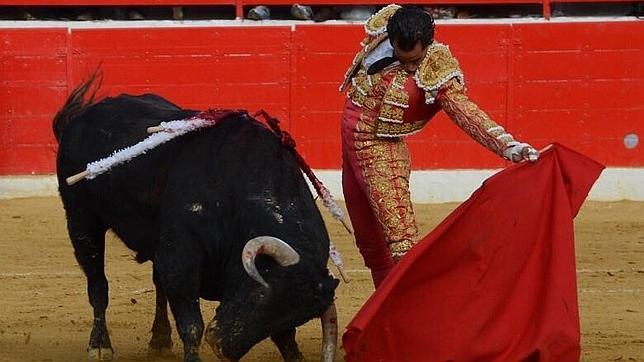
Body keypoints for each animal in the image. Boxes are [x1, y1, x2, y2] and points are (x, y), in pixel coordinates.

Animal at [52, 75, 340, 360]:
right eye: (260, 293)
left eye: (289, 317)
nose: (222, 346)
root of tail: (82, 116)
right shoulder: (181, 257)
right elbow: (191, 324)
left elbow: (286, 338)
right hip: (81, 221)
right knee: (98, 284)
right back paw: (100, 345)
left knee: (157, 284)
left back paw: (159, 340)